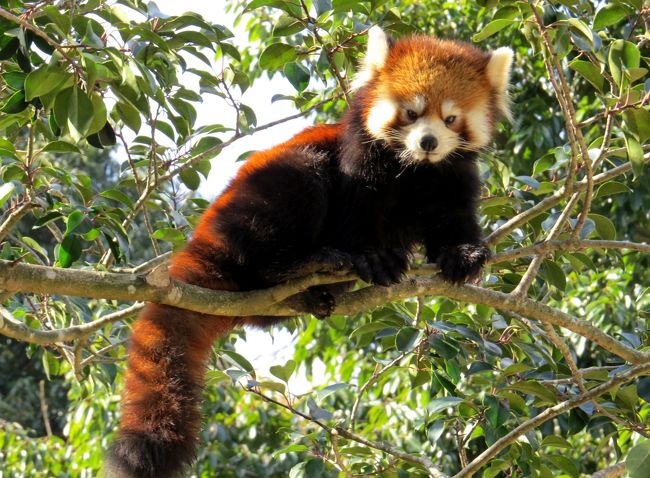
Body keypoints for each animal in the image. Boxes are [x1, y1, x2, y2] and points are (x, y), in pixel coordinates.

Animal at [105, 27, 512, 478]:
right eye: (410, 112)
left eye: (451, 118)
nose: (428, 141)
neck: (414, 170)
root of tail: (204, 237)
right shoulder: (360, 166)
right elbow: (357, 214)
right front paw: (373, 256)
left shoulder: (452, 177)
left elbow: (452, 221)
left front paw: (465, 255)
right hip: (260, 199)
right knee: (296, 188)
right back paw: (303, 264)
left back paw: (314, 294)